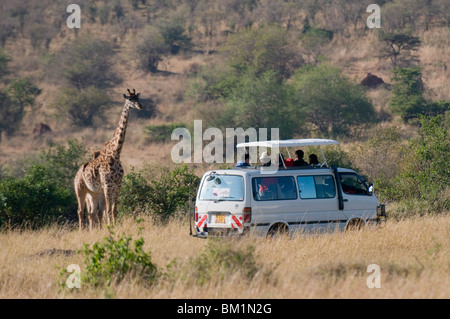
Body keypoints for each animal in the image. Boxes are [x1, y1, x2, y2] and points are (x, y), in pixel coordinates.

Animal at [77, 89, 141, 229]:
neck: (115, 154)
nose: (140, 106)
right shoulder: (107, 185)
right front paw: (109, 228)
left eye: (138, 99)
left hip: (93, 192)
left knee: (92, 212)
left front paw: (114, 227)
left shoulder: (118, 185)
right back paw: (81, 231)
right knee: (80, 211)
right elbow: (108, 210)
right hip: (80, 189)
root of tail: (78, 171)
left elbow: (113, 210)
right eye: (130, 99)